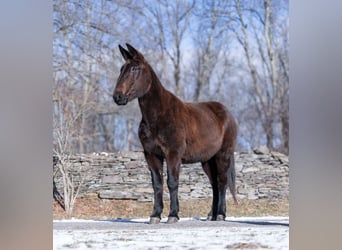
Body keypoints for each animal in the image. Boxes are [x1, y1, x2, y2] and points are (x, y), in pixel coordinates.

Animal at [113, 43, 236, 225]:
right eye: (122, 69)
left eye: (135, 69)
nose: (118, 97)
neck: (159, 115)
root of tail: (227, 113)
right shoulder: (152, 155)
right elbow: (157, 184)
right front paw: (155, 215)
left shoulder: (173, 154)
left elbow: (172, 182)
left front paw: (173, 215)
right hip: (207, 160)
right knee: (214, 184)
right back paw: (211, 215)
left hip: (223, 155)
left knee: (221, 182)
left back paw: (220, 214)